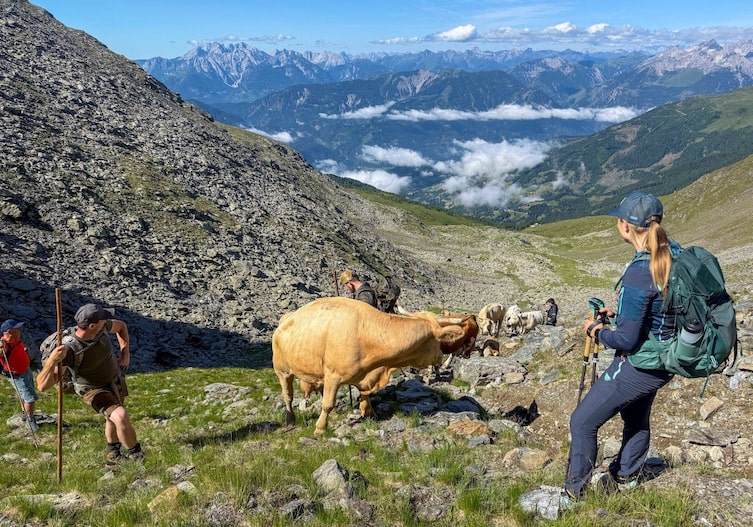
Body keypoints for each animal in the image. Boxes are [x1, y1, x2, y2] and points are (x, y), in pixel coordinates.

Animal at [272, 297, 478, 435]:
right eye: (436, 342)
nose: (439, 358)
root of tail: (286, 318)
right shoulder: (333, 375)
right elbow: (327, 403)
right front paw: (321, 428)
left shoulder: (363, 376)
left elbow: (365, 395)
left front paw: (369, 411)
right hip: (282, 370)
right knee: (288, 396)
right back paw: (290, 418)